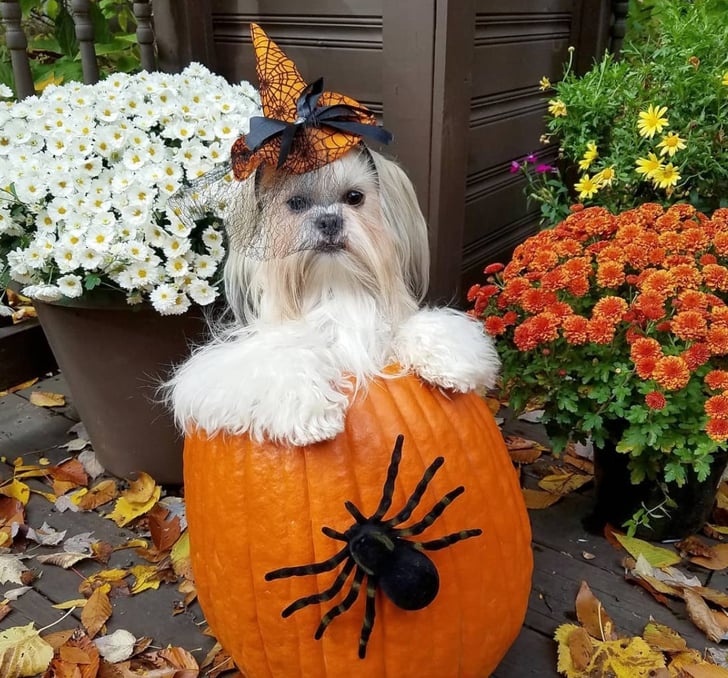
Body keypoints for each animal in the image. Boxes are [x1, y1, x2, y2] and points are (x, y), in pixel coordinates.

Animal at [168, 22, 500, 446]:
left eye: (354, 197)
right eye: (295, 204)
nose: (328, 221)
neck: (334, 290)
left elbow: (429, 326)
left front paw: (448, 359)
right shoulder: (220, 369)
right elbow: (278, 360)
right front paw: (308, 411)